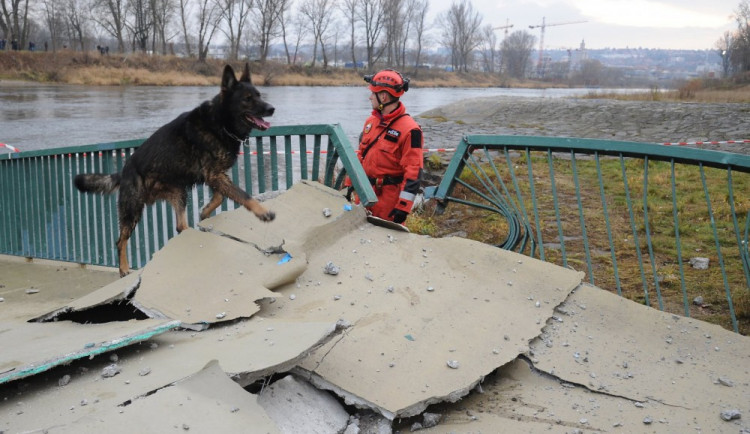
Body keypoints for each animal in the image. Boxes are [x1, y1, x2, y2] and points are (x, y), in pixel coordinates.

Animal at [75, 62, 276, 276]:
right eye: (247, 99)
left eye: (259, 95)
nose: (271, 109)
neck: (220, 122)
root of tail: (124, 171)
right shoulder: (214, 175)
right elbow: (243, 195)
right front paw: (263, 213)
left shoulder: (216, 176)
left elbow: (220, 197)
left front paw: (205, 212)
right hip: (133, 210)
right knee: (120, 241)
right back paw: (123, 269)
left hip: (179, 193)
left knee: (180, 226)